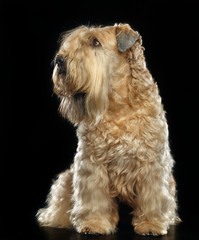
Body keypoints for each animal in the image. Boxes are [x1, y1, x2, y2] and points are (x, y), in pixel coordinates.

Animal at [36, 23, 180, 235]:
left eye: (95, 42)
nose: (60, 60)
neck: (118, 105)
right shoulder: (91, 165)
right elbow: (94, 198)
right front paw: (94, 223)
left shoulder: (152, 165)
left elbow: (152, 198)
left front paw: (151, 224)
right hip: (67, 177)